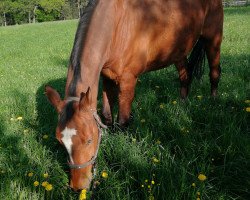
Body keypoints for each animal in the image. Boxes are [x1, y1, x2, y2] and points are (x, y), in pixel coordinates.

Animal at [46, 0, 224, 191]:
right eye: (60, 141)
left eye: (88, 140)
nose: (78, 186)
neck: (116, 24)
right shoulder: (107, 78)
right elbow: (107, 116)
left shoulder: (128, 80)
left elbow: (123, 121)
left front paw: (122, 154)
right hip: (178, 51)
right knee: (185, 77)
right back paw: (181, 107)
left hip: (213, 39)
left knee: (214, 73)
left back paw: (214, 102)